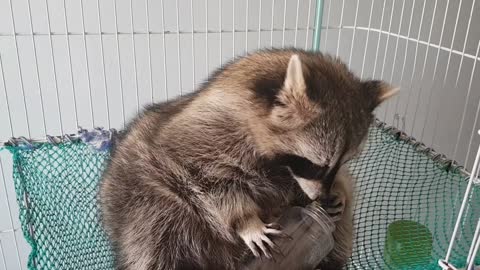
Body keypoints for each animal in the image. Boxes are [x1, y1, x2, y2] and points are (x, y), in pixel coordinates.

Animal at [98, 49, 398, 270]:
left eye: (342, 162)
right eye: (318, 165)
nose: (320, 198)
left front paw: (337, 192)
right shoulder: (199, 144)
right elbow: (211, 186)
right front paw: (247, 221)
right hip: (149, 206)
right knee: (157, 240)